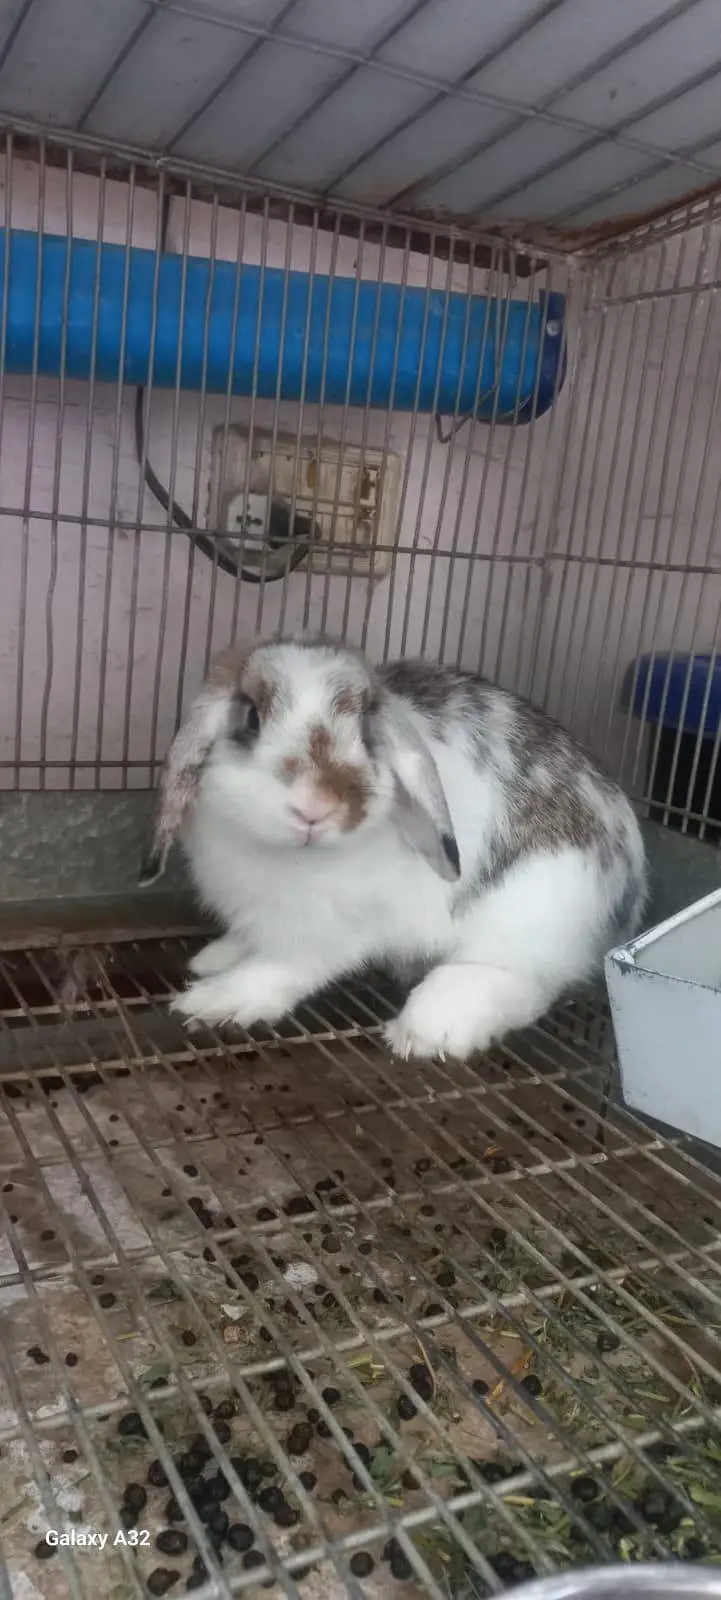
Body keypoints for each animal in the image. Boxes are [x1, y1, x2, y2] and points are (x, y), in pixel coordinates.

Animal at [140, 636, 647, 1062]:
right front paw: (213, 959)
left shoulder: (322, 935)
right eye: (251, 718)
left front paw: (213, 1001)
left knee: (524, 982)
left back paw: (429, 1027)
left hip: (529, 914)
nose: (316, 806)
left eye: (366, 732)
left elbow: (276, 970)